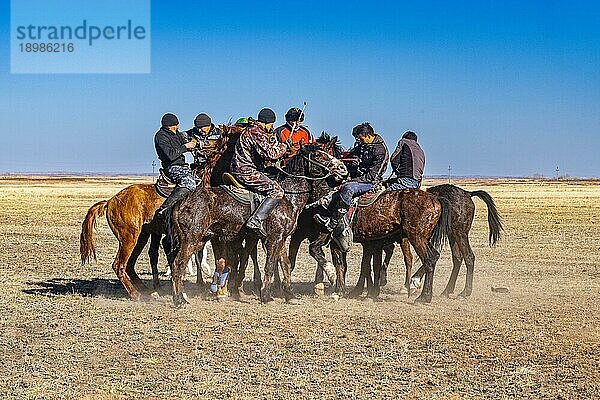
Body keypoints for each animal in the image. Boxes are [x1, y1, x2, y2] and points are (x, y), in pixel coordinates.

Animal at [78, 126, 231, 298]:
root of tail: (111, 201)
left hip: (141, 236)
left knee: (130, 264)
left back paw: (147, 290)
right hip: (128, 238)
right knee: (119, 265)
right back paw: (136, 295)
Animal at [168, 143, 346, 306]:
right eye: (318, 155)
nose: (343, 168)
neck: (288, 197)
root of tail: (180, 202)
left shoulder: (282, 239)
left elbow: (285, 265)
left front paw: (290, 295)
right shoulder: (274, 238)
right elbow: (270, 266)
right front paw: (266, 296)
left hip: (200, 239)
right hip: (191, 240)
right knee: (178, 265)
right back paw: (179, 300)